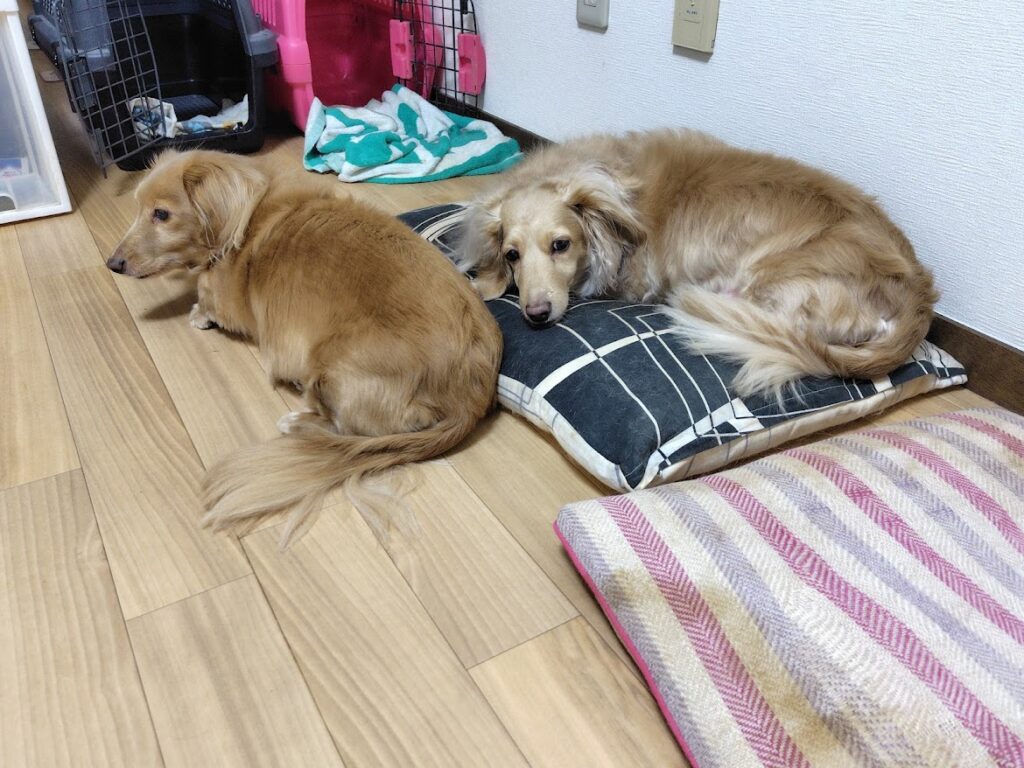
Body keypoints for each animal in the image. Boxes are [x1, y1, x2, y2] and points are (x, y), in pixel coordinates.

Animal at [108, 150, 502, 544]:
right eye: (138, 208)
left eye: (161, 214)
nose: (113, 264)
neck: (248, 217)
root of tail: (471, 394)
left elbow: (207, 299)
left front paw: (198, 313)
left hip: (331, 368)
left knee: (349, 428)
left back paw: (296, 422)